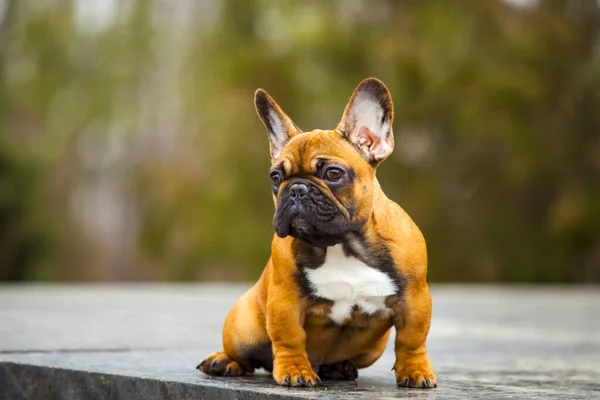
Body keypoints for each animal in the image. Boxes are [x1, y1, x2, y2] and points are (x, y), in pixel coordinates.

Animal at [197, 77, 436, 388]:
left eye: (333, 173)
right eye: (276, 177)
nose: (296, 189)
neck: (342, 244)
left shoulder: (414, 299)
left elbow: (412, 340)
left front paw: (416, 370)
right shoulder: (285, 301)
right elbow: (290, 338)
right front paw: (296, 370)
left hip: (373, 348)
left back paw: (340, 368)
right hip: (244, 327)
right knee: (245, 353)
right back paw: (224, 361)